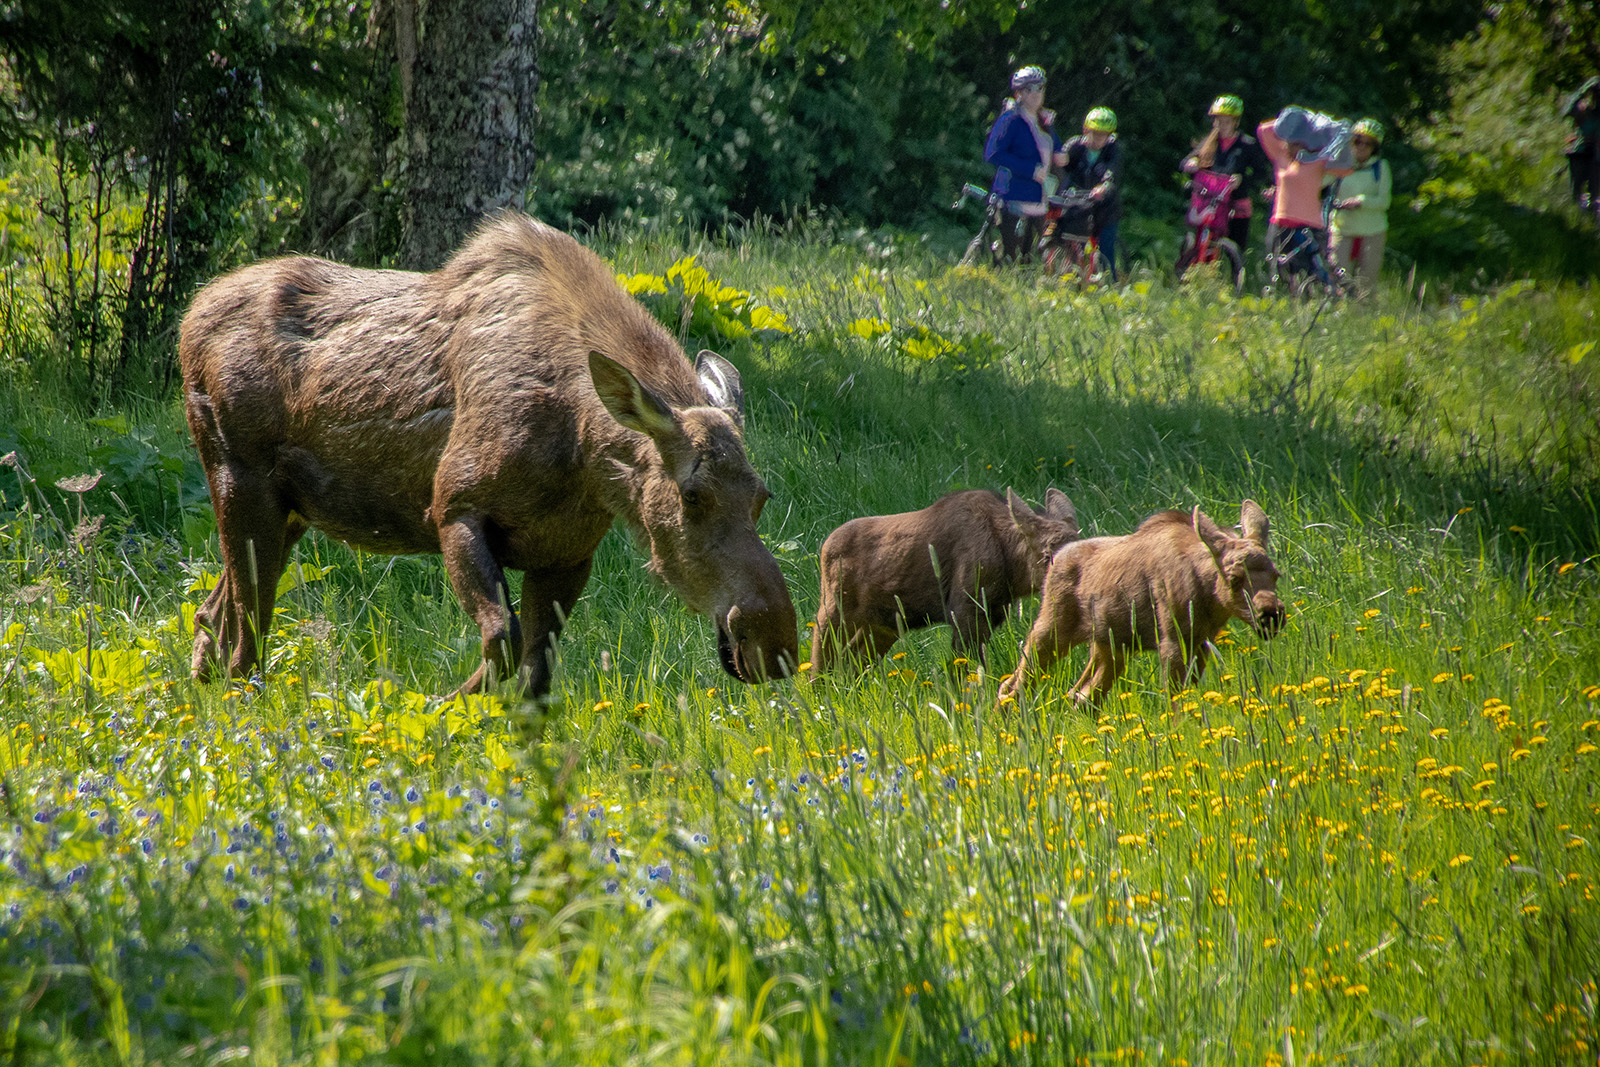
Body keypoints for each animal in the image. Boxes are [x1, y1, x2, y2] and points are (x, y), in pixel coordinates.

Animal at [179, 212, 798, 697]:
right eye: (692, 494)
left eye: (763, 496)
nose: (776, 642)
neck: (582, 456)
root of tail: (189, 318)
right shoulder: (454, 507)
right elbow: (503, 639)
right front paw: (440, 706)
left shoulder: (566, 554)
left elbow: (536, 673)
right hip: (238, 478)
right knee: (247, 628)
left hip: (292, 510)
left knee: (213, 608)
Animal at [811, 488, 1080, 673]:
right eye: (1046, 554)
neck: (1011, 567)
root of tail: (823, 548)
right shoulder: (964, 611)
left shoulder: (991, 613)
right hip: (834, 613)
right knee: (819, 659)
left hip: (881, 627)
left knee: (853, 665)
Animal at [997, 500, 1284, 707]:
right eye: (1234, 578)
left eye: (1276, 574)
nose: (1270, 614)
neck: (1208, 595)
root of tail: (1055, 558)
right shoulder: (1173, 640)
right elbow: (1175, 701)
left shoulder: (1200, 642)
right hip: (1051, 630)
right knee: (1012, 687)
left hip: (1109, 646)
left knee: (1082, 695)